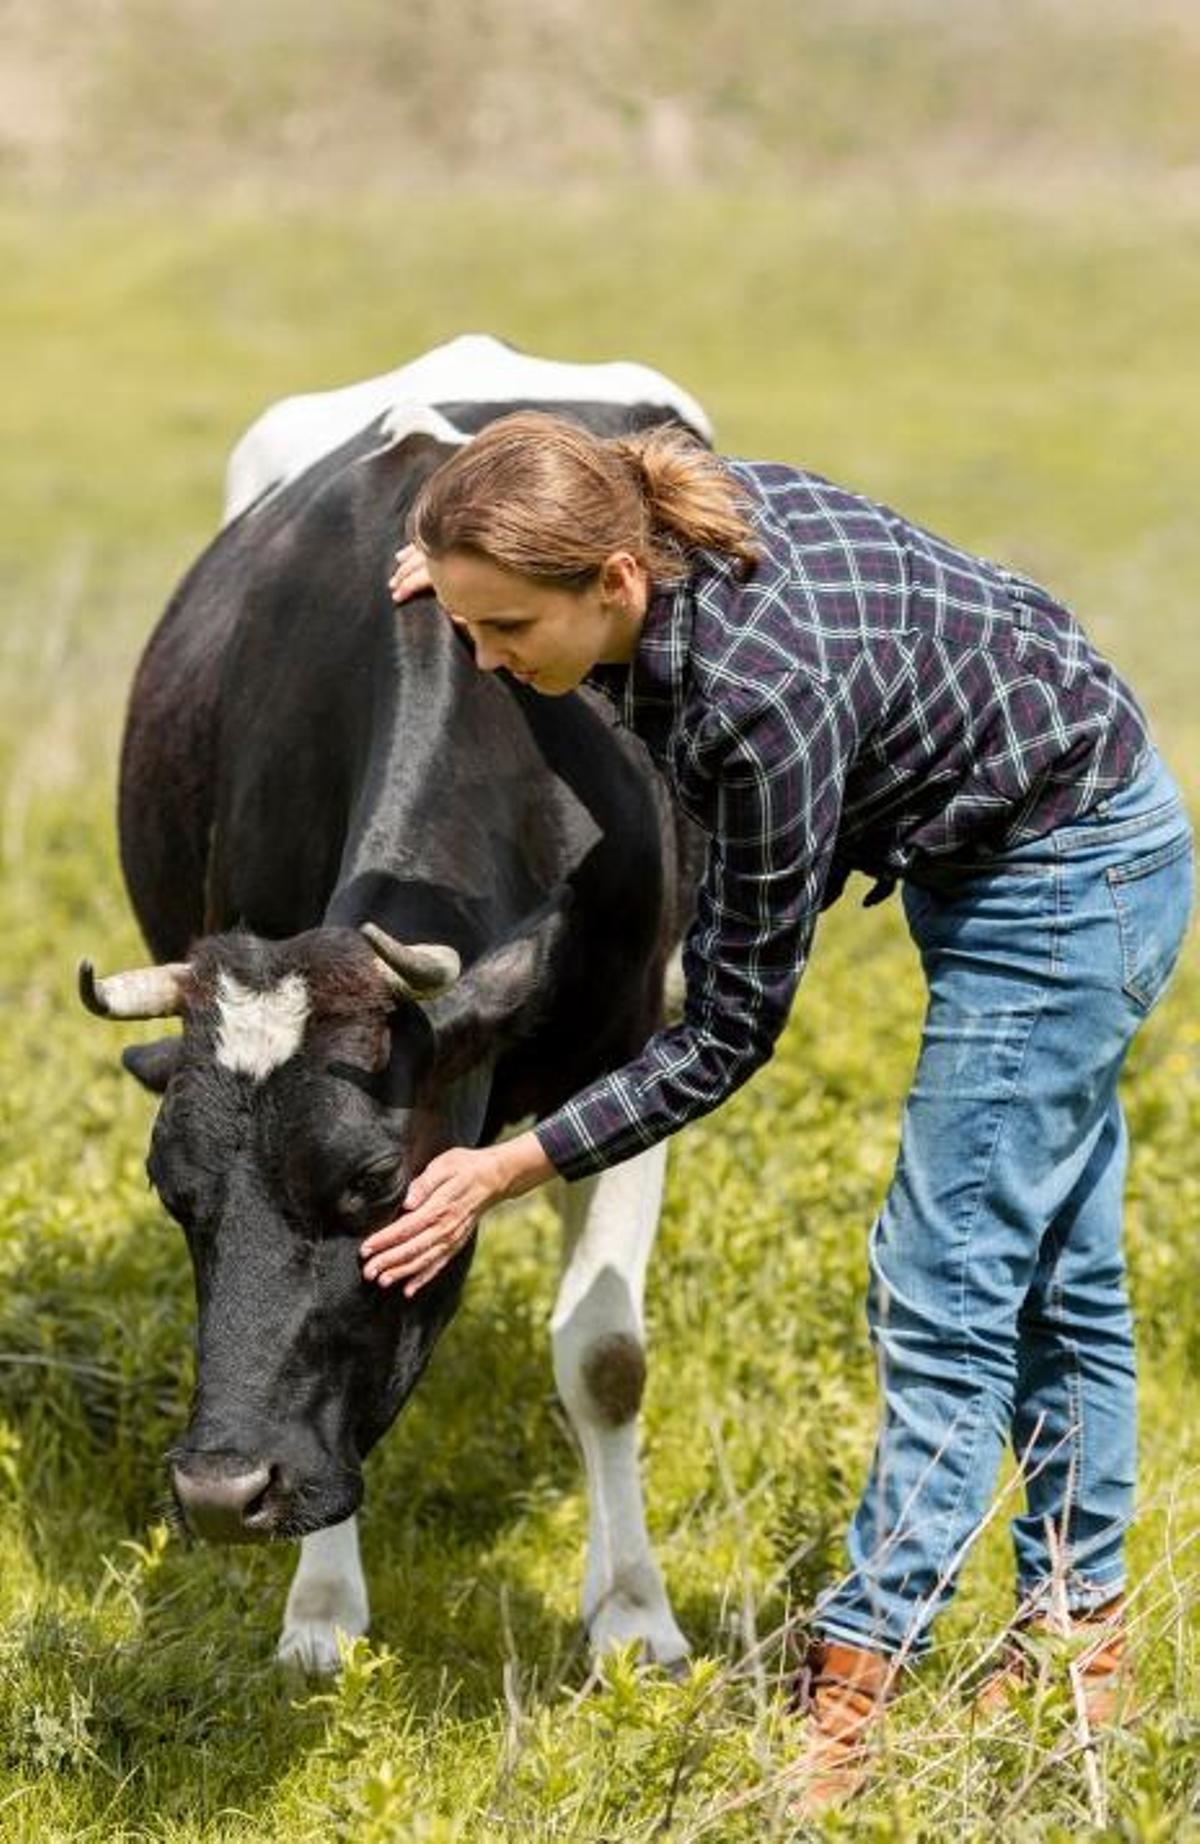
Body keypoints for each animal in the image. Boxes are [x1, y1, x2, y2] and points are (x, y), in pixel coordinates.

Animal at [80, 344, 705, 1676]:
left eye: (372, 1183)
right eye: (172, 1189)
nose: (221, 1490)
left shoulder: (641, 1049)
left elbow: (607, 1352)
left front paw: (633, 1613)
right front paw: (320, 1609)